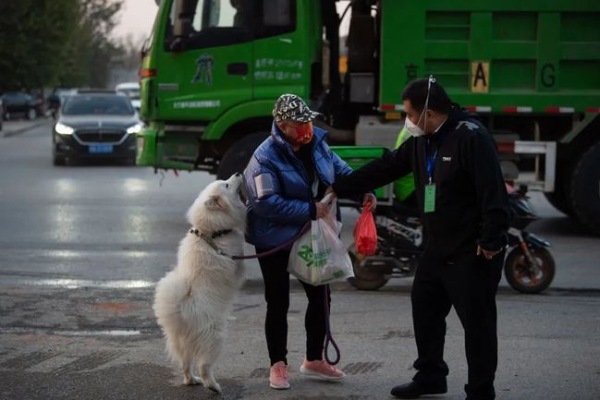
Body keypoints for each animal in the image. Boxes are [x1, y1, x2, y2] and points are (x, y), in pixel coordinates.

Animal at [156, 173, 250, 392]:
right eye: (226, 184)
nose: (238, 173)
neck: (212, 233)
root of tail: (181, 310)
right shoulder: (236, 260)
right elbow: (241, 262)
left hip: (183, 343)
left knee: (185, 364)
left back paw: (192, 380)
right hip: (215, 337)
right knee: (204, 365)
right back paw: (213, 386)